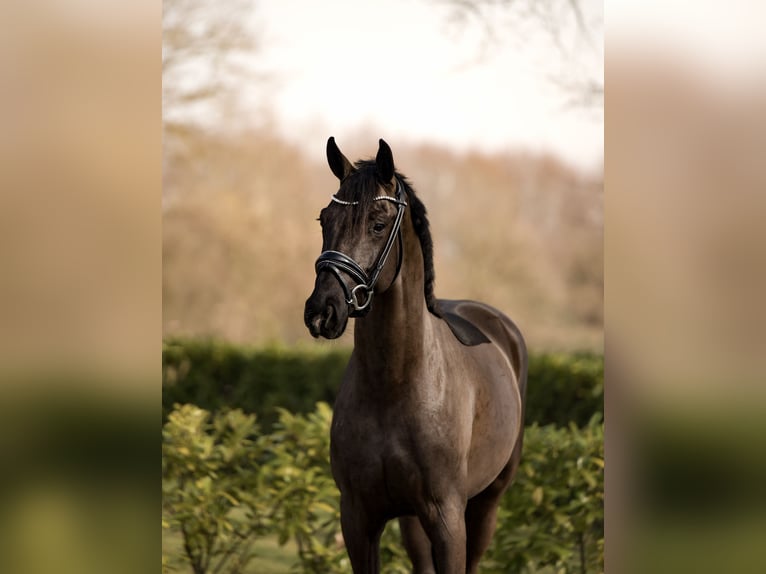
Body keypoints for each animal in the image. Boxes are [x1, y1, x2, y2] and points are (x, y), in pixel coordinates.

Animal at [304, 138, 527, 574]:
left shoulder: (447, 519)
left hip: (487, 503)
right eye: (325, 219)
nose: (322, 311)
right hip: (411, 518)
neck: (395, 384)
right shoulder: (358, 518)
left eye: (377, 223)